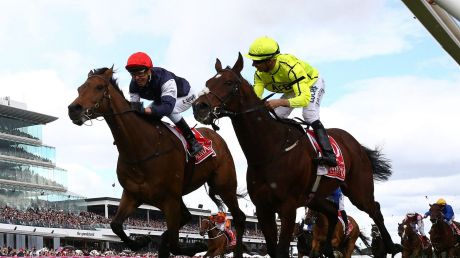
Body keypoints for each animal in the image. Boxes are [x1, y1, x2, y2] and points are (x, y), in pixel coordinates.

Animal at [66, 67, 246, 258]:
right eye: (79, 89)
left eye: (99, 87)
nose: (73, 109)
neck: (141, 148)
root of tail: (216, 136)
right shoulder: (132, 195)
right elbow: (115, 225)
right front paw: (141, 241)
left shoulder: (170, 200)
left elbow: (175, 244)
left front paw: (196, 246)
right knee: (187, 217)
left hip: (224, 186)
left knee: (237, 216)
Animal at [191, 53, 402, 256]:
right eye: (208, 82)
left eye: (228, 82)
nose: (199, 106)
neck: (270, 149)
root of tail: (356, 144)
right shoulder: (263, 208)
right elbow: (272, 249)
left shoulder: (288, 207)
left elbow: (282, 250)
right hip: (316, 197)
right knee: (333, 212)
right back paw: (328, 249)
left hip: (359, 189)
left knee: (375, 209)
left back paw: (391, 247)